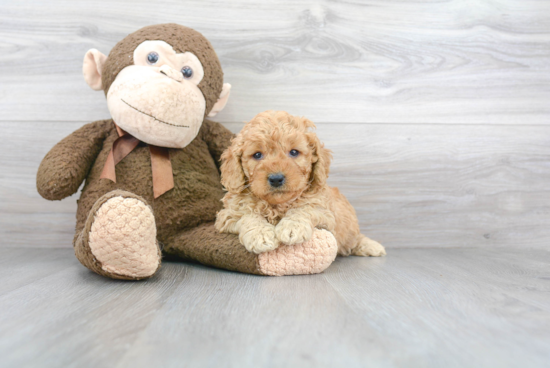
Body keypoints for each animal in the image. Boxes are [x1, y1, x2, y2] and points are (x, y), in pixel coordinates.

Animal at [216, 110, 388, 258]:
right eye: (257, 155)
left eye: (294, 152)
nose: (276, 178)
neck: (276, 206)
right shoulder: (227, 216)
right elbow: (247, 216)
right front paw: (261, 236)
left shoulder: (325, 214)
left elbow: (305, 208)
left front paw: (292, 227)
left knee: (355, 239)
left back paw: (372, 246)